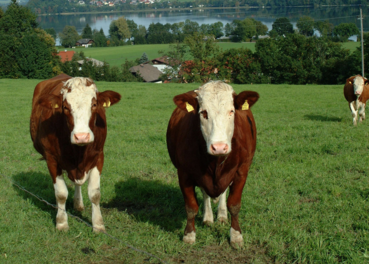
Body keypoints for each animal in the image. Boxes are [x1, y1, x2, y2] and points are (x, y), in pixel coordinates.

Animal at [29, 73, 121, 232]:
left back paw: (78, 204)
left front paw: (98, 225)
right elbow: (60, 193)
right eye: (65, 107)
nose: (81, 136)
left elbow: (95, 194)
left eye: (94, 104)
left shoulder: (99, 156)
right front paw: (61, 222)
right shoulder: (51, 159)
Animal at [165, 80, 258, 248]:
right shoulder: (184, 173)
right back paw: (208, 217)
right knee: (205, 193)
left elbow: (234, 205)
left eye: (231, 111)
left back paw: (221, 215)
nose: (219, 147)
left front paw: (236, 236)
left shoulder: (241, 171)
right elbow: (191, 207)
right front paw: (189, 235)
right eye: (203, 113)